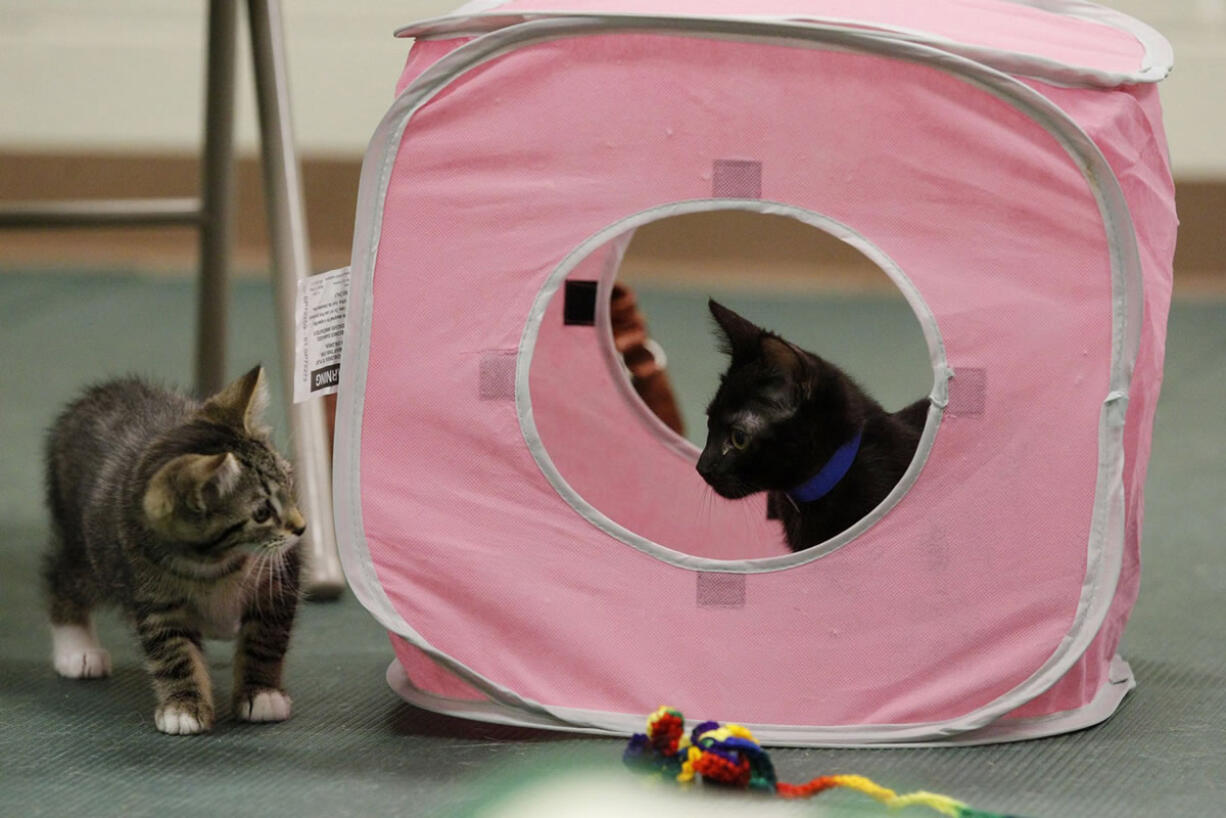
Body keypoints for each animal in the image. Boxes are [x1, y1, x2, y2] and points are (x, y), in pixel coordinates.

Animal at [44, 365, 304, 735]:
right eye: (262, 513)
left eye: (290, 483)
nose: (302, 527)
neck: (217, 563)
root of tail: (92, 397)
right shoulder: (152, 592)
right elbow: (173, 651)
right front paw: (183, 707)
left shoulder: (278, 578)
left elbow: (266, 638)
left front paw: (262, 694)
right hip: (86, 549)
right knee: (61, 577)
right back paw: (77, 648)